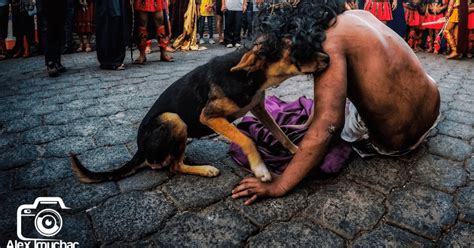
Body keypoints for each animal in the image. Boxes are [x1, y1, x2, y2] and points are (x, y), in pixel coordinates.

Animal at [70, 45, 330, 183]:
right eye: (298, 50)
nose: (328, 57)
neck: (247, 75)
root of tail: (140, 150)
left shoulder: (258, 107)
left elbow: (279, 132)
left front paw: (295, 150)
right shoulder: (209, 116)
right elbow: (246, 139)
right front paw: (261, 169)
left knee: (173, 160)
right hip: (173, 120)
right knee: (173, 167)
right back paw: (204, 169)